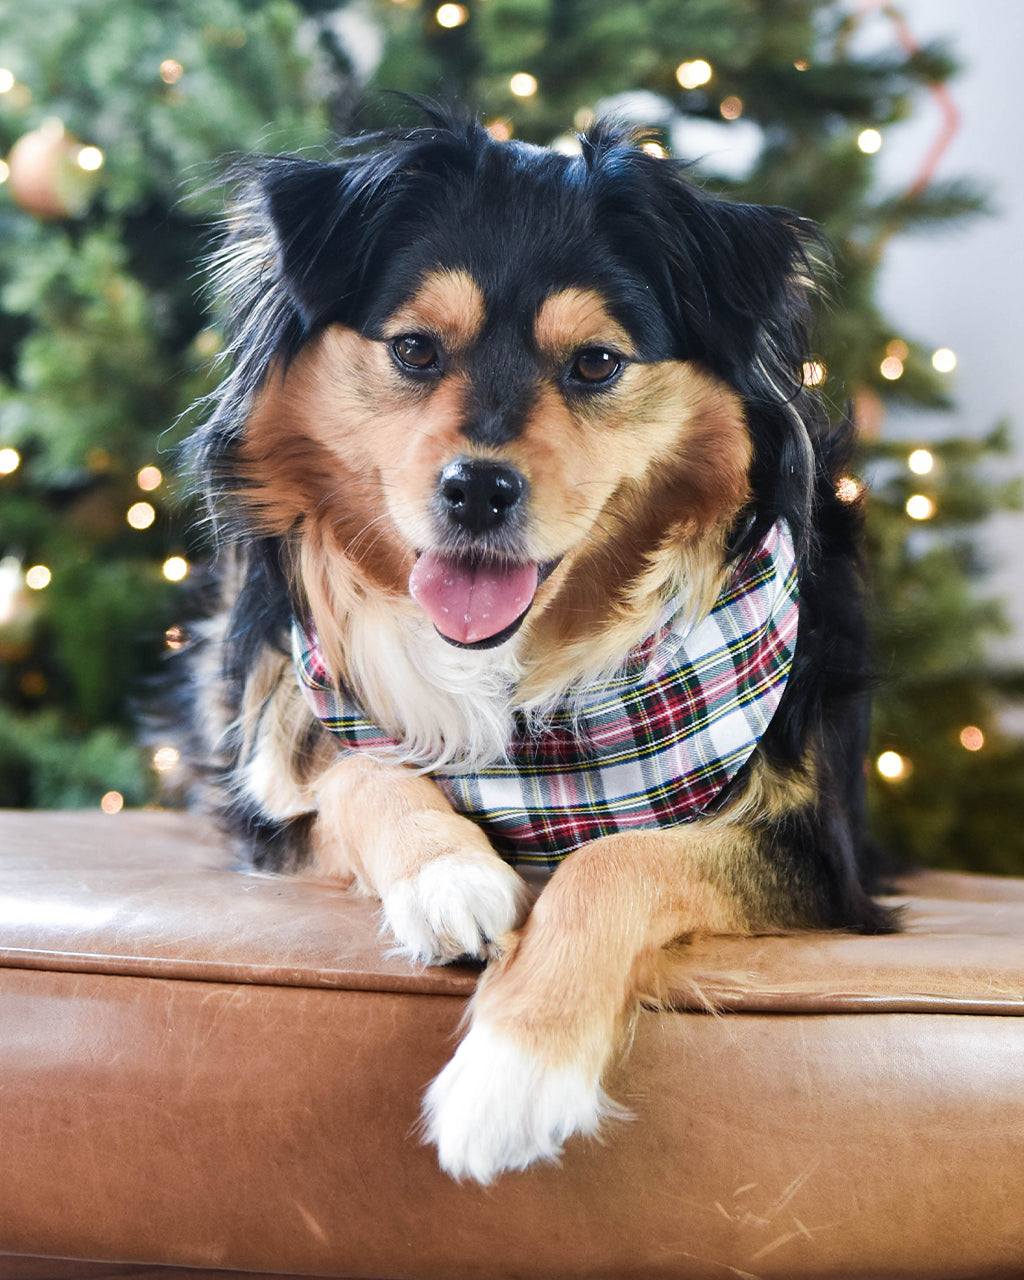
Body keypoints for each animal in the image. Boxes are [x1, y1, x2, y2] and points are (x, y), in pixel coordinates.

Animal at [184, 104, 896, 1182]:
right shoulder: (271, 791)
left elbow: (624, 857)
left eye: (596, 363)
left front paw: (512, 1075)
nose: (477, 489)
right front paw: (447, 872)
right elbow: (359, 768)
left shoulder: (818, 849)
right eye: (414, 349)